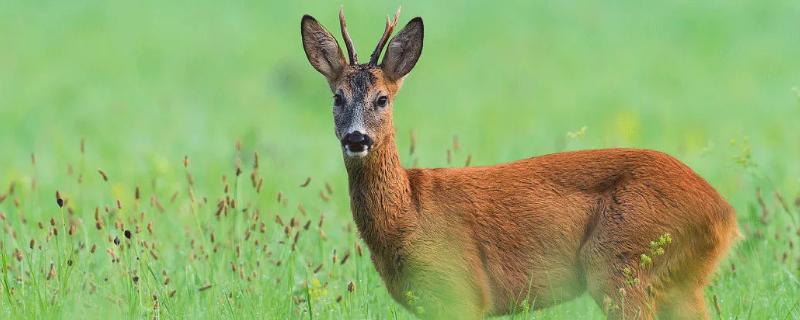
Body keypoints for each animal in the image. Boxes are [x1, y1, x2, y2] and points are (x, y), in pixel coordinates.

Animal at [300, 8, 736, 320]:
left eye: (382, 99)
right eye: (337, 97)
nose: (357, 138)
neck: (408, 213)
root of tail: (724, 213)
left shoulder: (464, 289)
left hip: (620, 262)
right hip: (680, 283)